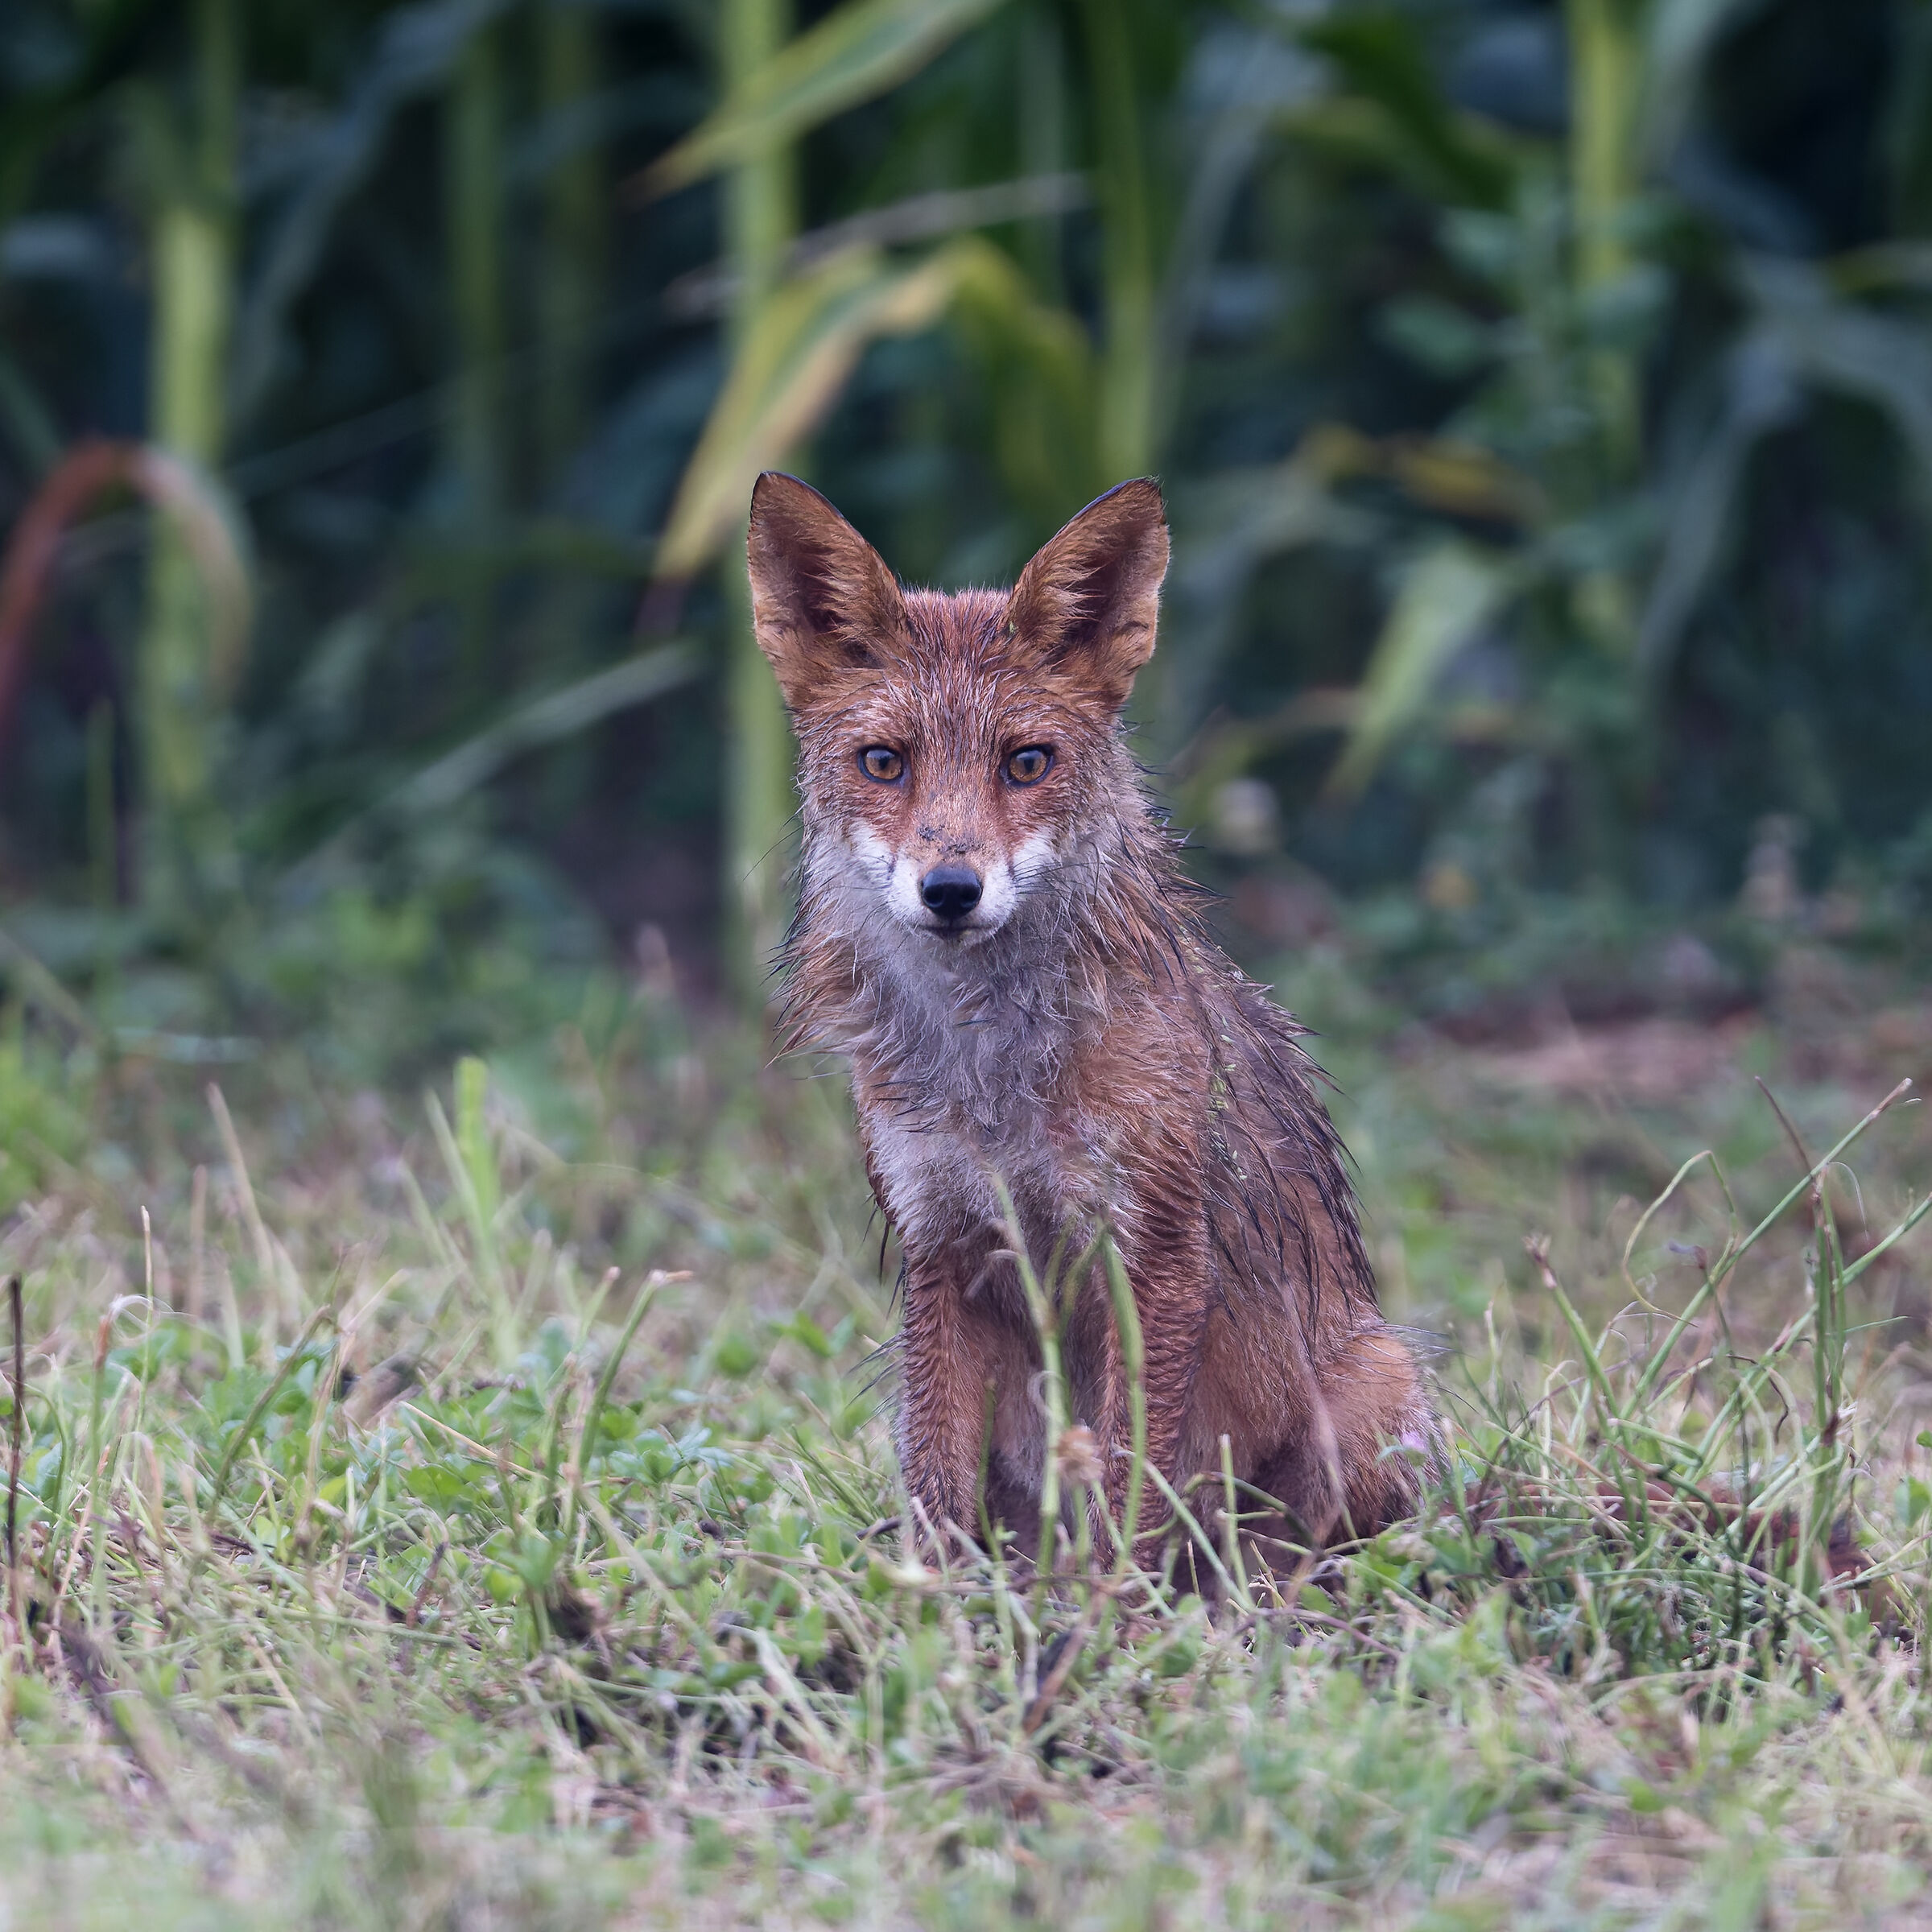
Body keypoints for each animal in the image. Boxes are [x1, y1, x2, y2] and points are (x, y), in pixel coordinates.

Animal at [746, 469, 1435, 1569]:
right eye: (884, 762)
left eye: (1027, 763)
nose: (951, 889)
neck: (993, 1079)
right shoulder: (942, 1244)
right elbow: (938, 1491)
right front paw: (933, 1605)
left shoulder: (1153, 1255)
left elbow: (1129, 1485)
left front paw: (1110, 1609)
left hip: (1375, 1387)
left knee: (1295, 1549)